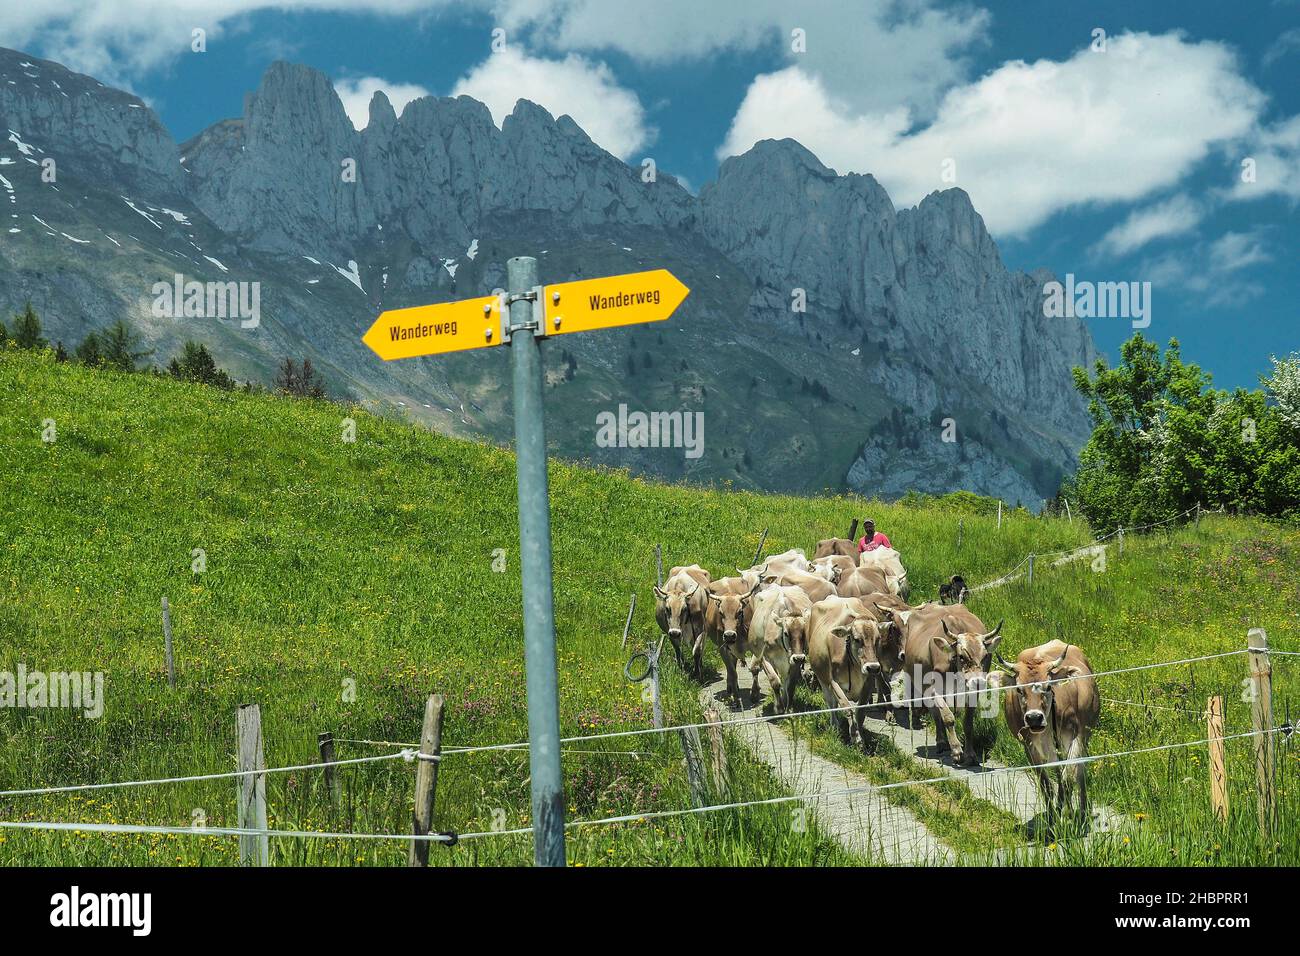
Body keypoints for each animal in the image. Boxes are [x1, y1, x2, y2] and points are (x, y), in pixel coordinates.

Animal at [894, 606, 1003, 770]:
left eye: (985, 656)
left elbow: (968, 724)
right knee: (936, 713)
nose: (978, 682)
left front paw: (971, 755)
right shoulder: (935, 690)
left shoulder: (973, 693)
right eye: (962, 656)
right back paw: (942, 742)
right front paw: (957, 751)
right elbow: (948, 718)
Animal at [993, 642, 1097, 832]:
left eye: (1048, 687)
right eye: (1019, 689)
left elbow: (1068, 778)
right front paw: (1052, 819)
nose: (1034, 718)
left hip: (1085, 735)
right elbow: (1046, 785)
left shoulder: (1076, 738)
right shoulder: (1029, 746)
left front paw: (1067, 815)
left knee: (1079, 772)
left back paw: (1080, 811)